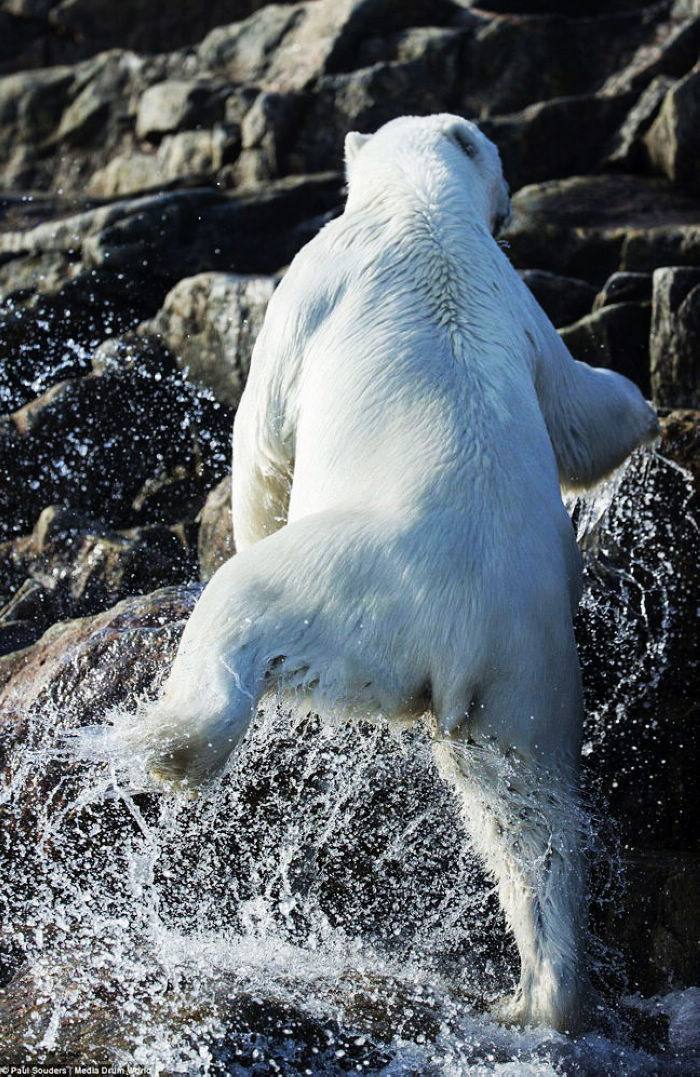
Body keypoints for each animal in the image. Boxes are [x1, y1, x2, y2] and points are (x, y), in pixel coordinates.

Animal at [140, 113, 654, 1029]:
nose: (513, 202)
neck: (420, 208)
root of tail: (460, 626)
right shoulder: (520, 303)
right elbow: (579, 408)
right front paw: (648, 410)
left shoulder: (312, 279)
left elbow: (260, 432)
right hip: (527, 674)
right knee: (530, 812)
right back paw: (542, 995)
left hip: (341, 595)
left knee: (240, 613)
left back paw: (169, 746)